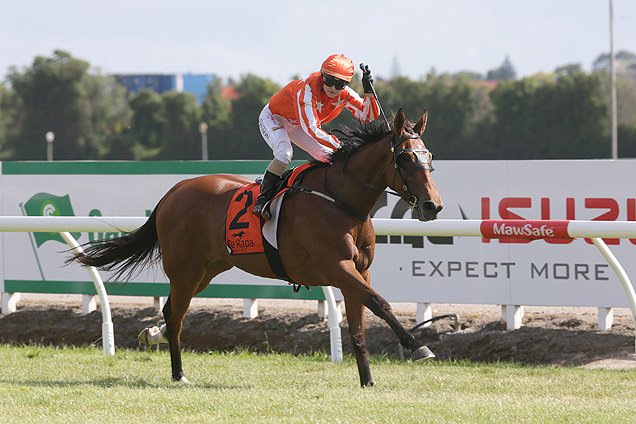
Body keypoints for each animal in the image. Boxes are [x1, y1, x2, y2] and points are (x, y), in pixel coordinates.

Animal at [71, 107, 442, 386]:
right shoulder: (337, 267)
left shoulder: (359, 271)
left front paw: (367, 380)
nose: (432, 206)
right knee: (175, 315)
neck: (340, 201)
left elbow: (359, 326)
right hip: (186, 270)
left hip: (207, 269)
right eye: (405, 158)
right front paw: (417, 346)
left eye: (430, 156)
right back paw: (178, 373)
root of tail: (173, 192)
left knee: (169, 311)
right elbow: (380, 303)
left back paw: (154, 337)